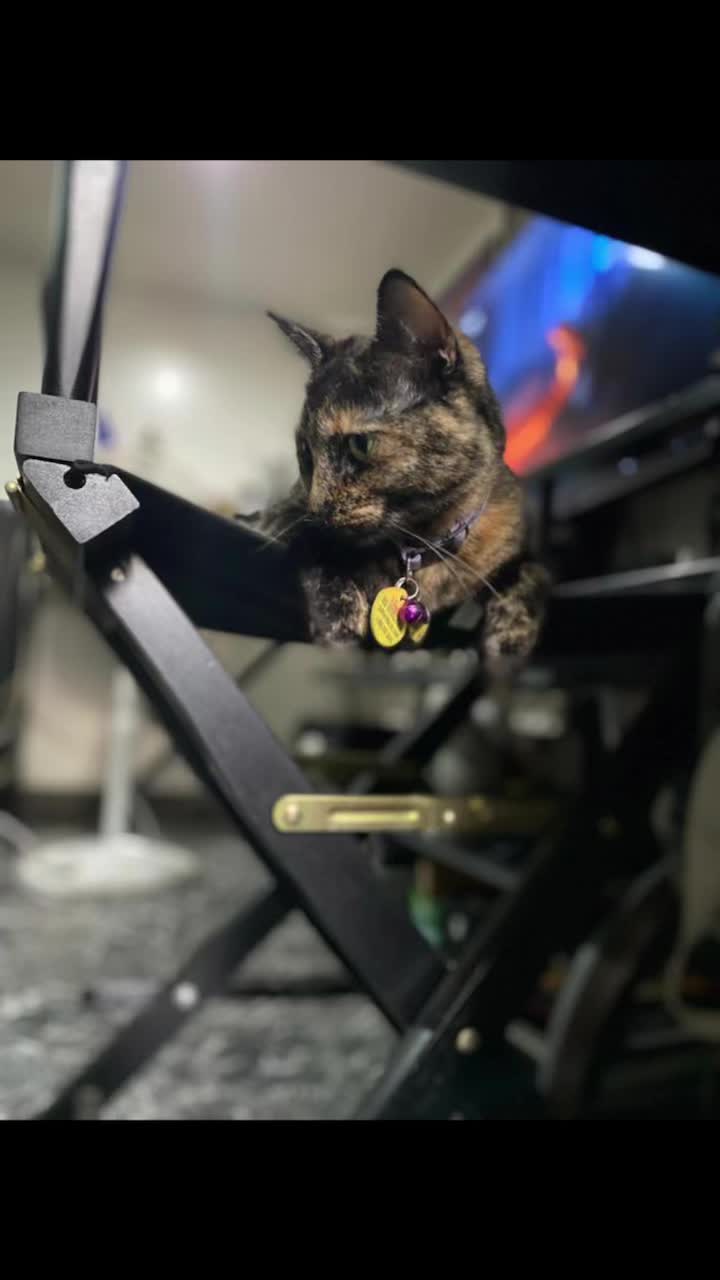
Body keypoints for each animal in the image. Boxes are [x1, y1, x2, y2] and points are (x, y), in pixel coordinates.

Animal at [243, 269, 549, 673]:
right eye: (305, 454)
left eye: (360, 444)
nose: (317, 511)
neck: (426, 545)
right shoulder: (285, 518)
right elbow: (310, 543)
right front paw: (338, 615)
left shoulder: (517, 540)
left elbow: (534, 573)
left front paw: (511, 639)